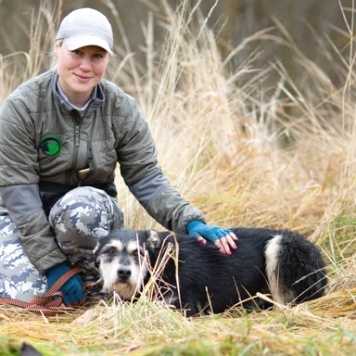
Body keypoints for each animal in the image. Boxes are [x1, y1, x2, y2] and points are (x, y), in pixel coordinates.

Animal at [93, 227, 326, 316]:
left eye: (138, 253)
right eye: (110, 251)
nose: (124, 273)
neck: (160, 262)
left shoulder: (185, 305)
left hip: (280, 246)